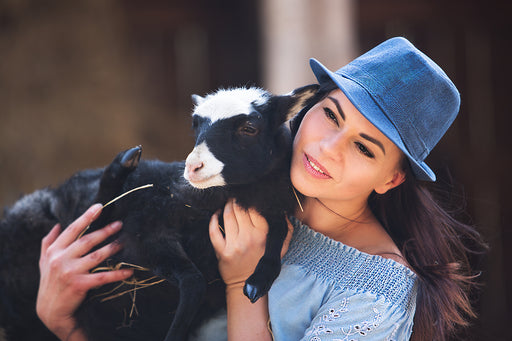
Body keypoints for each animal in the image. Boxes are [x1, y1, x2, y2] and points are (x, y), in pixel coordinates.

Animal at [0, 83, 318, 340]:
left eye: (249, 128)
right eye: (195, 126)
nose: (192, 167)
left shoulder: (272, 209)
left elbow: (279, 233)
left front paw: (257, 280)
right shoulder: (147, 232)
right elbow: (193, 282)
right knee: (98, 211)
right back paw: (123, 164)